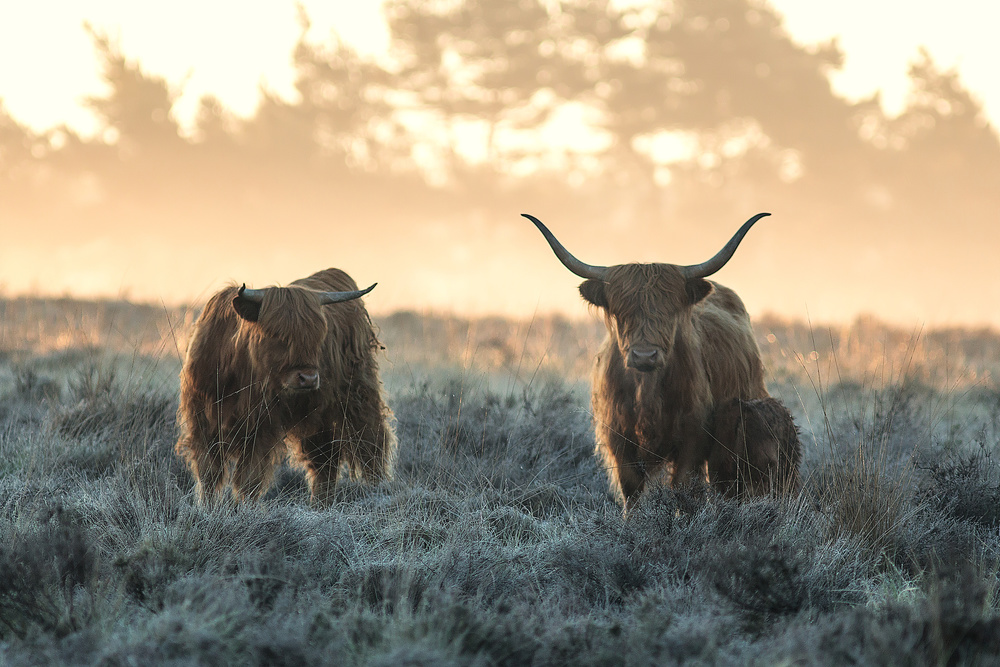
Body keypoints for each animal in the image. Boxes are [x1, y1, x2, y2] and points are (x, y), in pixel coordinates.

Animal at [175, 268, 396, 505]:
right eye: (276, 335)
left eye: (318, 338)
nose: (308, 378)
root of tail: (334, 273)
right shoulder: (201, 419)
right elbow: (209, 472)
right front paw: (206, 507)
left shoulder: (261, 424)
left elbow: (249, 477)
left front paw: (245, 508)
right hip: (319, 412)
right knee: (325, 457)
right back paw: (321, 504)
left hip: (357, 395)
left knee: (370, 442)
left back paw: (375, 490)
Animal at [523, 212, 777, 513]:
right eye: (621, 312)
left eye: (670, 311)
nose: (644, 355)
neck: (647, 391)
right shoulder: (618, 437)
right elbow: (630, 488)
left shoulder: (693, 437)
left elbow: (683, 486)